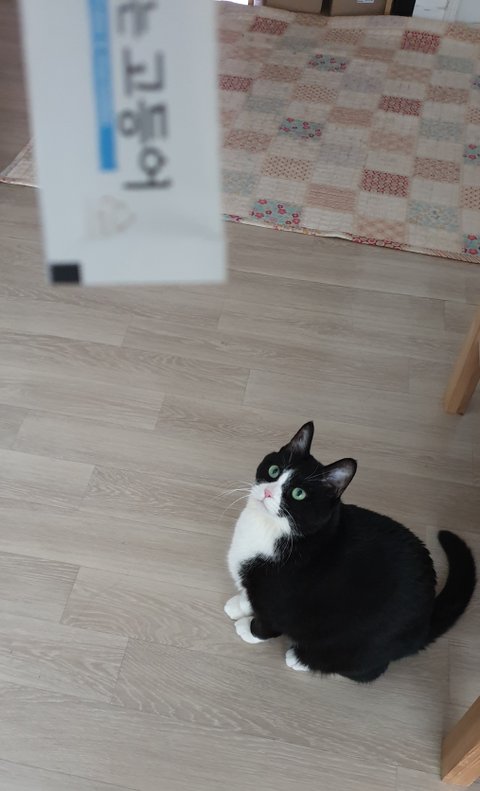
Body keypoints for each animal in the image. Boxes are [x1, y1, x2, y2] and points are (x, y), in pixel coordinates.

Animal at [224, 422, 476, 682]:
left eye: (298, 494)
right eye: (274, 471)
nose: (267, 493)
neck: (270, 530)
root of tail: (424, 624)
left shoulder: (281, 602)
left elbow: (267, 625)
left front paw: (248, 629)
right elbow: (249, 595)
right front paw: (240, 605)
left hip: (361, 640)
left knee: (367, 670)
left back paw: (301, 659)